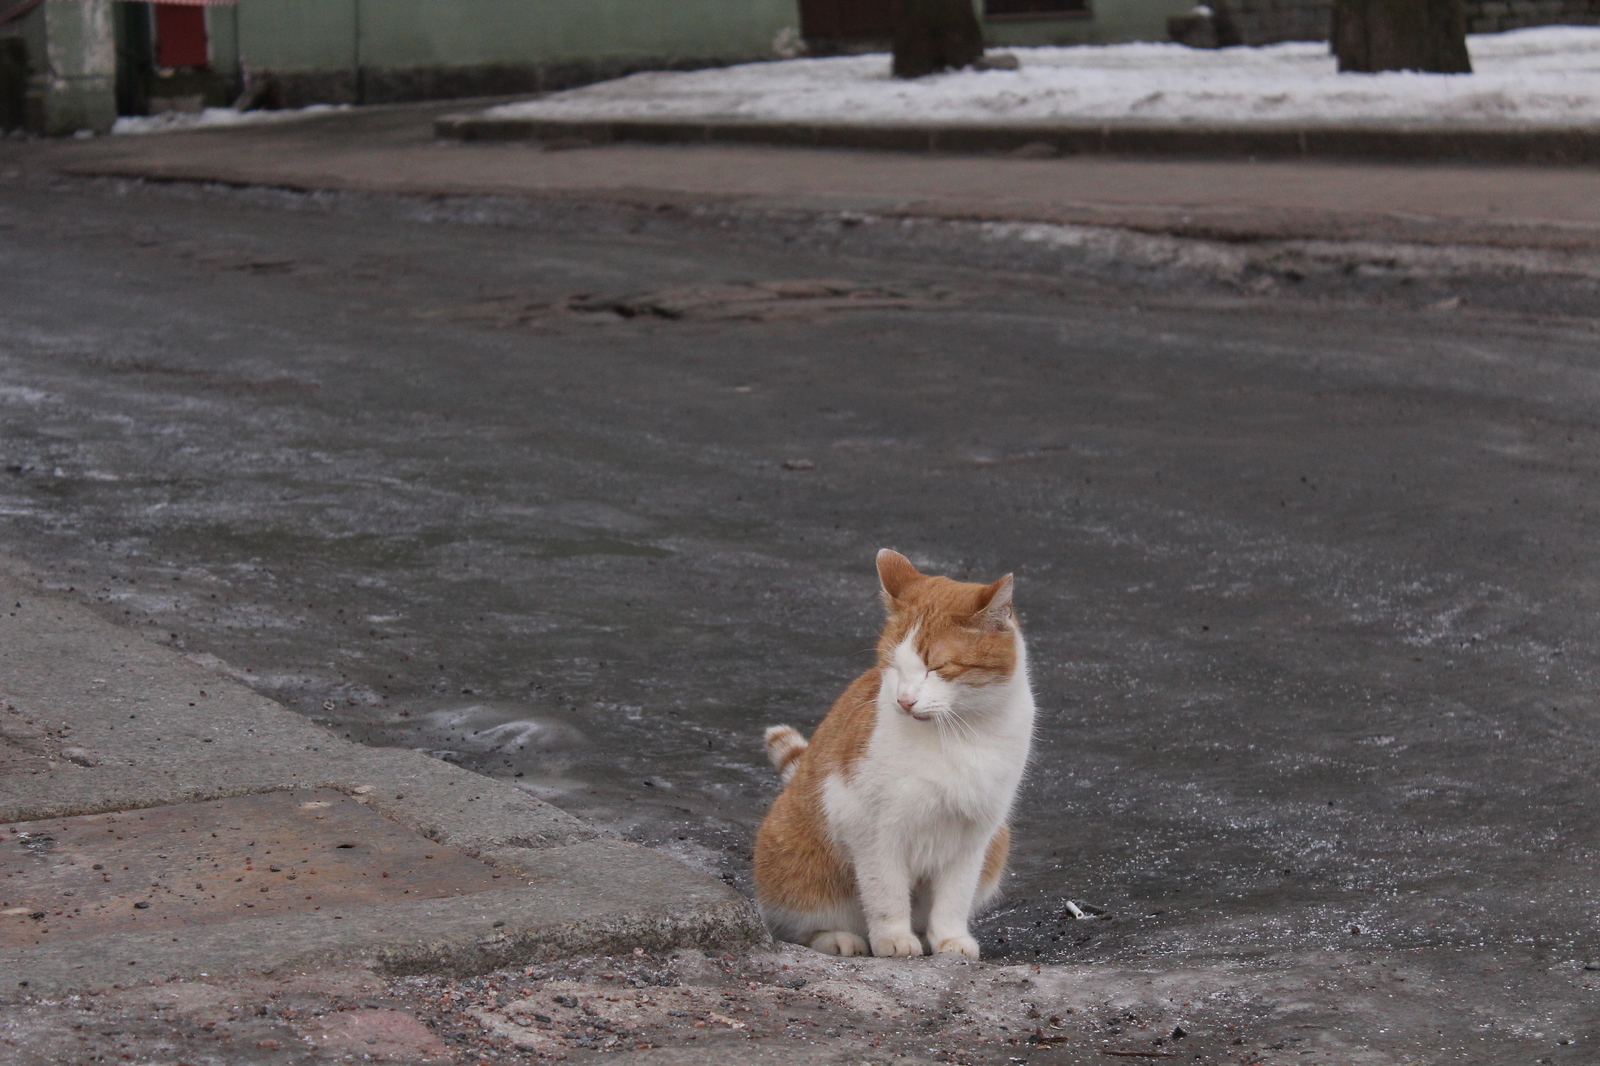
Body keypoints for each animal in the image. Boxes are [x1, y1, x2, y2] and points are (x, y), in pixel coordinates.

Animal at [752, 547, 1036, 953]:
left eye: (937, 667)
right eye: (892, 664)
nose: (904, 700)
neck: (958, 733)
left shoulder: (975, 836)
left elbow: (955, 895)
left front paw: (950, 938)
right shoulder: (871, 829)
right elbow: (885, 893)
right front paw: (895, 939)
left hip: (999, 843)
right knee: (804, 922)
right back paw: (838, 939)